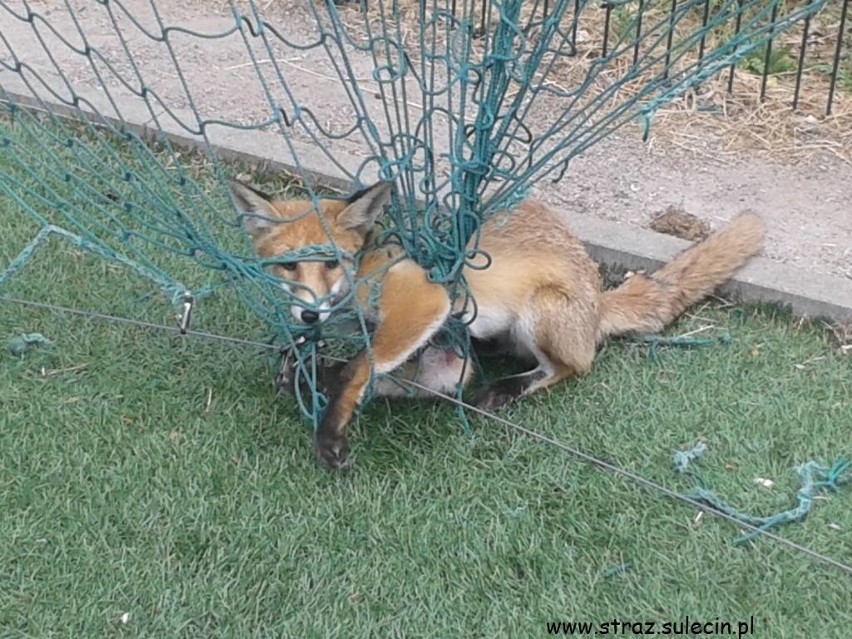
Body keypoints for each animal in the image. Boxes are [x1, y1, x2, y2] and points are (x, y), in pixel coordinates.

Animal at [231, 180, 764, 470]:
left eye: (331, 263)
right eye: (288, 267)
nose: (309, 313)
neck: (367, 263)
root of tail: (597, 301)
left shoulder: (422, 301)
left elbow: (362, 367)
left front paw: (330, 426)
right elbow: (358, 366)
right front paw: (306, 365)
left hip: (540, 314)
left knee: (572, 368)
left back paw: (507, 389)